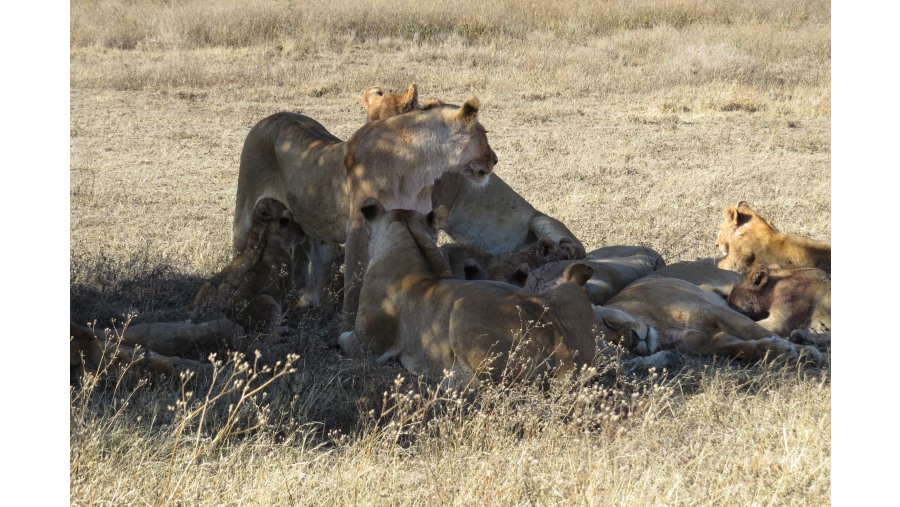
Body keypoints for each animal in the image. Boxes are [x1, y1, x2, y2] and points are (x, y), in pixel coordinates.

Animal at [232, 97, 496, 334]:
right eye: (484, 133)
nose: (495, 159)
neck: (418, 167)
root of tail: (269, 118)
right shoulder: (359, 227)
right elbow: (355, 283)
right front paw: (349, 331)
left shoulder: (421, 221)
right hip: (244, 211)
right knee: (241, 252)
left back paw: (307, 300)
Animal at [338, 198, 604, 388]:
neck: (410, 242)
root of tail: (563, 346)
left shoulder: (366, 345)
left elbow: (342, 339)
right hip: (565, 288)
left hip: (461, 308)